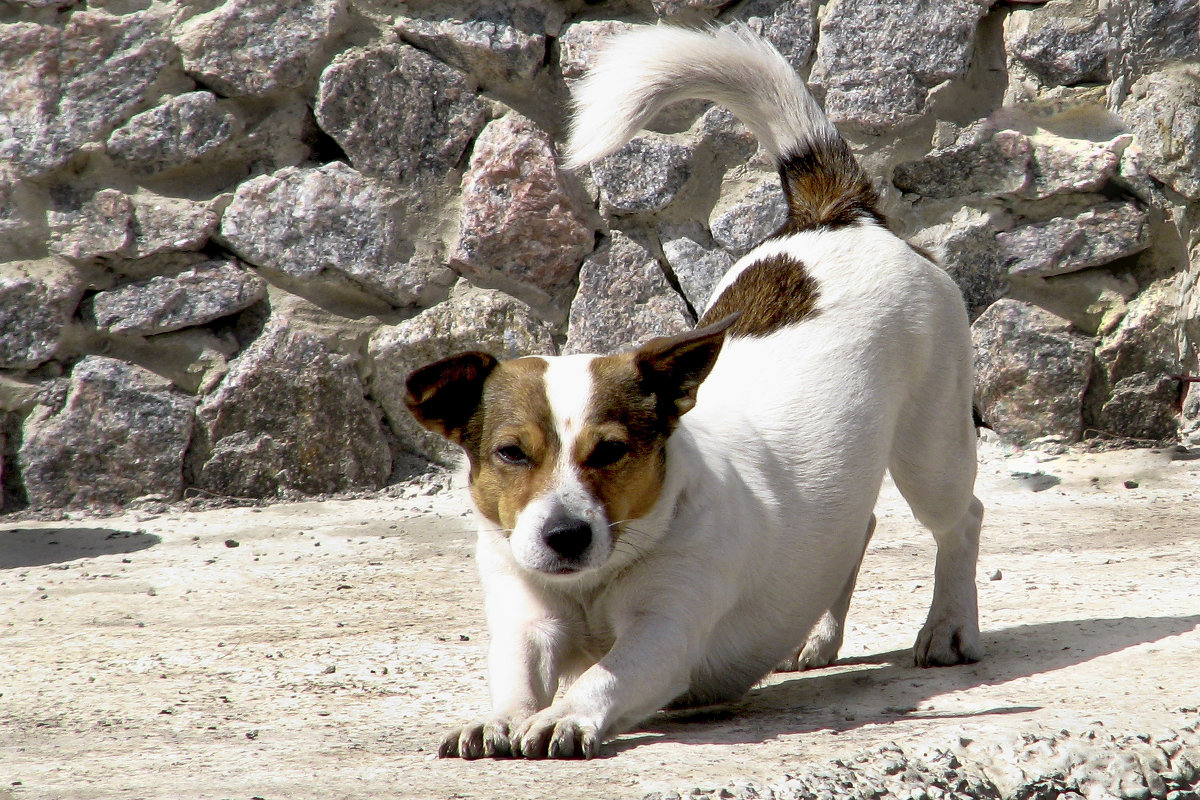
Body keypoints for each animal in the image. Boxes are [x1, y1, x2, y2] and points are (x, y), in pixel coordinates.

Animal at [405, 23, 984, 762]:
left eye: (612, 450)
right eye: (511, 453)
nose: (565, 535)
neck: (595, 582)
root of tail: (841, 215)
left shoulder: (665, 633)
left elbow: (605, 676)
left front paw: (565, 715)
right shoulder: (525, 622)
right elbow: (517, 675)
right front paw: (502, 717)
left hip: (931, 449)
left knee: (960, 520)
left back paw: (949, 627)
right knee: (859, 527)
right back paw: (819, 635)